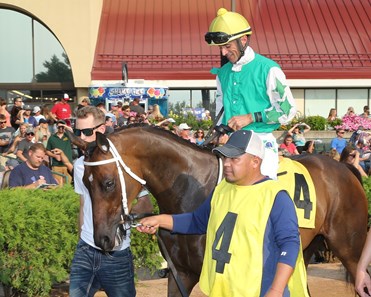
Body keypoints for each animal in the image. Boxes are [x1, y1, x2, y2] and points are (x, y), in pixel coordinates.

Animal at [70, 123, 370, 294]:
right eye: (83, 182)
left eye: (108, 183)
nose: (102, 239)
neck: (190, 190)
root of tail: (343, 167)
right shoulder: (180, 275)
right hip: (301, 252)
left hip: (350, 249)